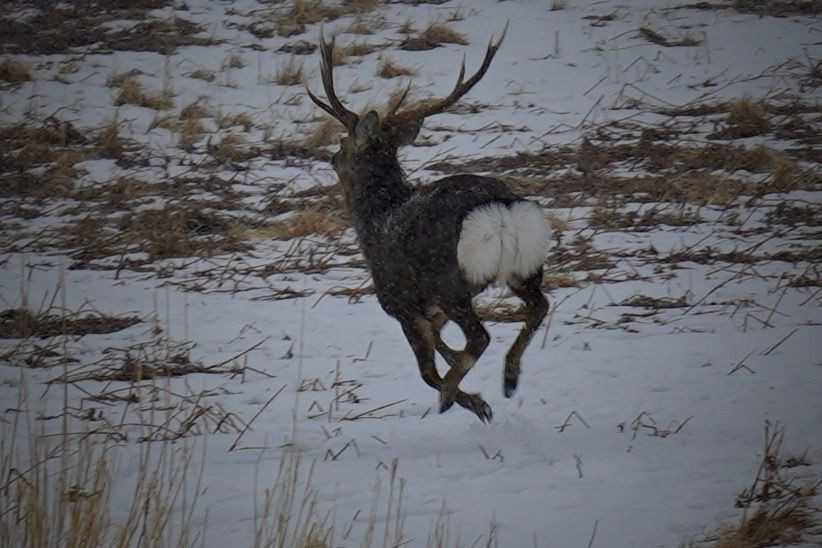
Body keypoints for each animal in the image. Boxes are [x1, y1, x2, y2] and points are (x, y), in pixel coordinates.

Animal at [308, 26, 552, 424]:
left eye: (343, 143)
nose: (331, 157)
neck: (376, 219)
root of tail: (499, 211)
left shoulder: (400, 302)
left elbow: (427, 371)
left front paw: (469, 399)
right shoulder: (431, 310)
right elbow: (441, 345)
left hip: (451, 282)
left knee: (480, 336)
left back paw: (457, 395)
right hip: (524, 265)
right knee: (538, 306)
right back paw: (509, 378)